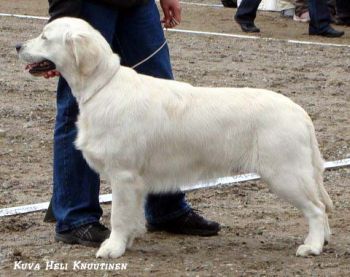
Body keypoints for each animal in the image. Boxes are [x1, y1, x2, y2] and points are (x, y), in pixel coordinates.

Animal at [18, 17, 334, 258]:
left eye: (45, 37)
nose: (18, 46)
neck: (102, 87)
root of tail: (300, 112)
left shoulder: (123, 174)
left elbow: (118, 215)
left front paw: (112, 248)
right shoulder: (135, 180)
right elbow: (131, 215)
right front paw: (127, 241)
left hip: (284, 174)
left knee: (317, 209)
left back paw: (312, 247)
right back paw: (322, 240)